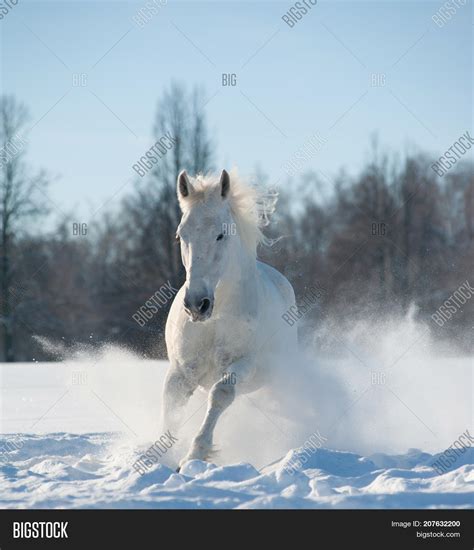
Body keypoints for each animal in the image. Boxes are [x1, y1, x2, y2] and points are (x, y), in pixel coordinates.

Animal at [163, 168, 296, 470]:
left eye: (220, 235)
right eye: (179, 236)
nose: (196, 305)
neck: (216, 318)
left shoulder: (244, 365)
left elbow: (221, 394)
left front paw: (195, 455)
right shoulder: (182, 369)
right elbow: (171, 404)